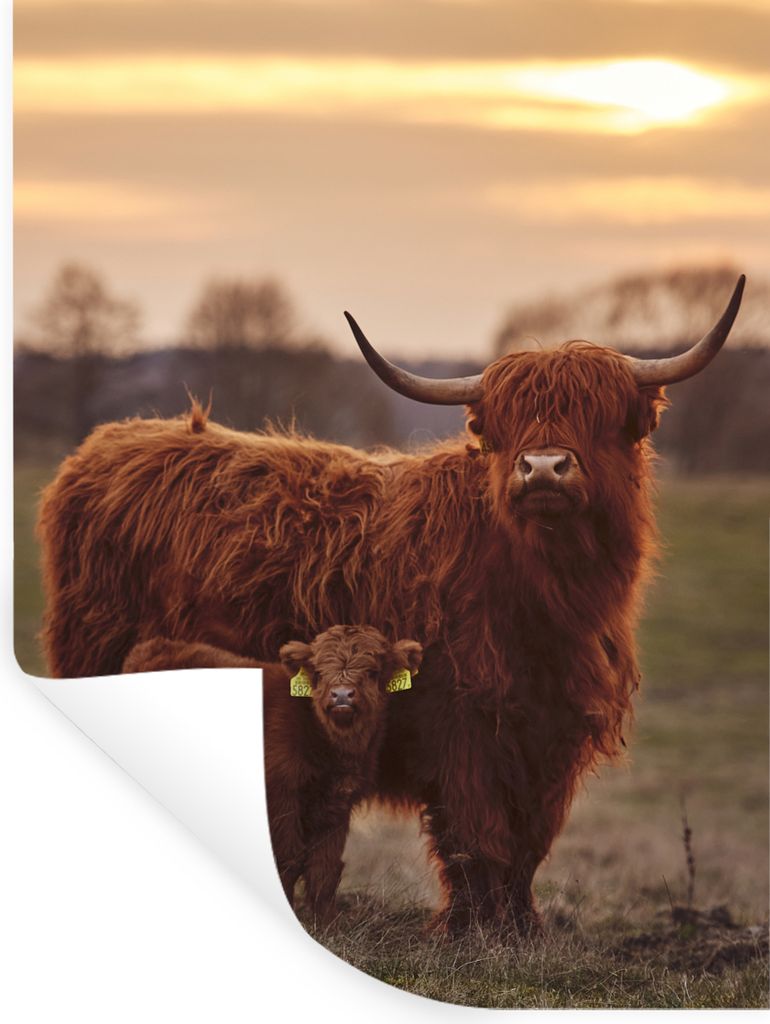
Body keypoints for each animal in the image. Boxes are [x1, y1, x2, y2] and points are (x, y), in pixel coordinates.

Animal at [123, 628, 422, 927]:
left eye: (373, 671)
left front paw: (328, 924)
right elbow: (288, 859)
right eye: (319, 672)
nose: (341, 695)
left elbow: (324, 868)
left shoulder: (338, 803)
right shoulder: (281, 796)